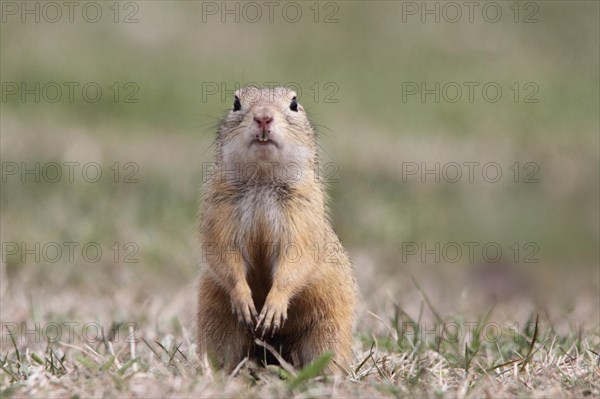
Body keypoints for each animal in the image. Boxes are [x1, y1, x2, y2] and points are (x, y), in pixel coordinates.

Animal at [198, 86, 356, 374]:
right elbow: (224, 254)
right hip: (216, 321)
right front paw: (244, 300)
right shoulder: (219, 214)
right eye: (236, 103)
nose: (263, 117)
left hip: (328, 331)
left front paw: (273, 307)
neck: (262, 180)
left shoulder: (302, 218)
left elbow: (295, 260)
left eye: (294, 103)